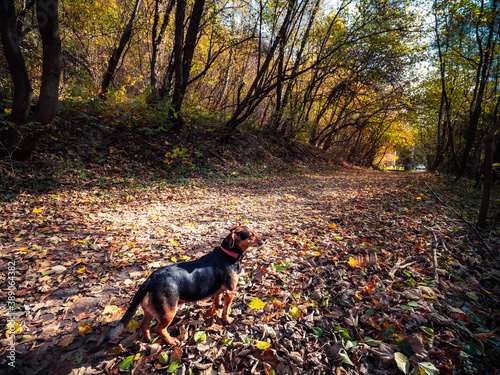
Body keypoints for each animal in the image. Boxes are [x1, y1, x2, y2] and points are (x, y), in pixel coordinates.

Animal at [99, 226, 268, 346]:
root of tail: (150, 280)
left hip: (150, 310)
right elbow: (226, 309)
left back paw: (147, 340)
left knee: (143, 325)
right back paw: (171, 341)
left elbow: (217, 297)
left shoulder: (221, 289)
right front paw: (227, 319)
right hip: (168, 313)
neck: (228, 254)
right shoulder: (231, 291)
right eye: (251, 235)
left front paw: (218, 305)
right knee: (158, 329)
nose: (265, 238)